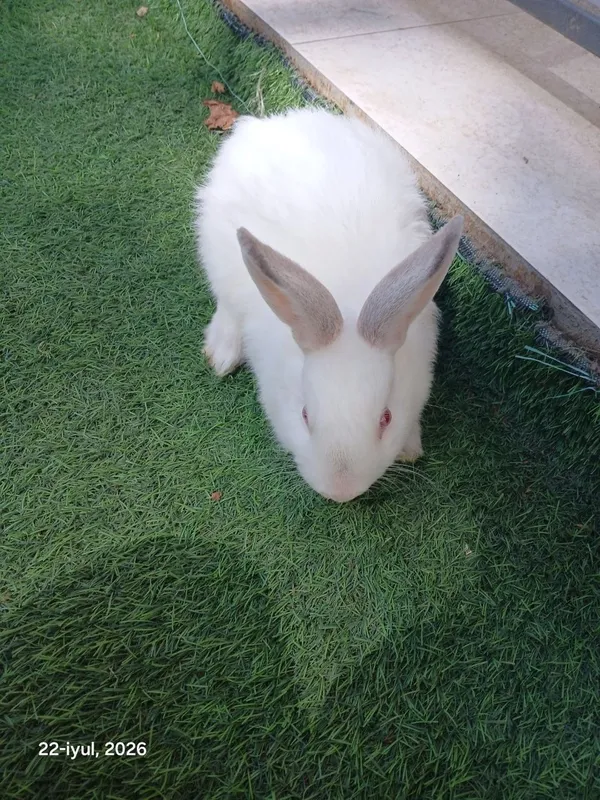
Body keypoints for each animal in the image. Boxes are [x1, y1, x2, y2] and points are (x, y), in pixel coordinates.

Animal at [195, 107, 462, 502]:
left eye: (386, 418)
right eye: (305, 416)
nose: (341, 491)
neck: (348, 304)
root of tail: (268, 125)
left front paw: (409, 447)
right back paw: (222, 354)